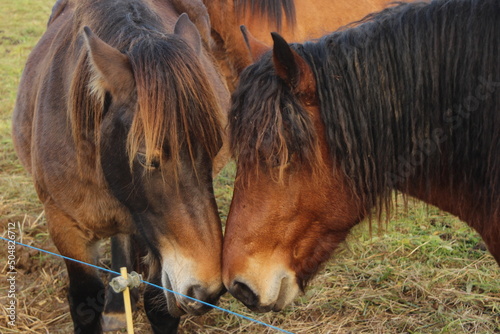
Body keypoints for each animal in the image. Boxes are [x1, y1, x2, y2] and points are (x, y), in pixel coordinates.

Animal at [12, 0, 229, 332]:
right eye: (146, 158)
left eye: (215, 146)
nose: (206, 290)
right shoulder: (64, 226)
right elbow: (84, 302)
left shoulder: (154, 236)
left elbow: (160, 308)